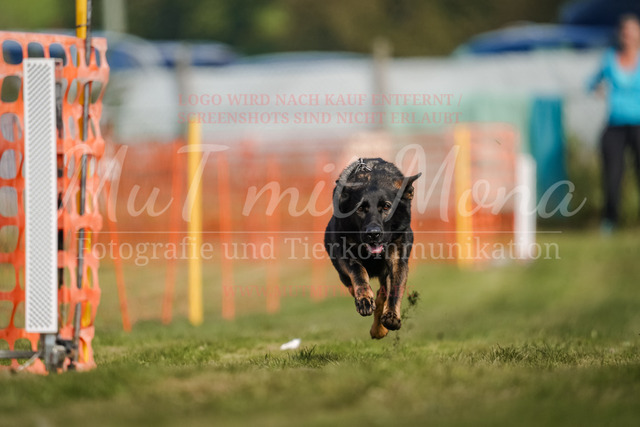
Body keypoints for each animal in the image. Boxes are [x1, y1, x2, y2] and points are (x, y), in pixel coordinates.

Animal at [324, 158, 421, 339]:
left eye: (387, 206)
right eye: (361, 209)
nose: (373, 234)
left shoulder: (397, 259)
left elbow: (395, 288)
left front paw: (391, 316)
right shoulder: (344, 255)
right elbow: (358, 271)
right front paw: (363, 299)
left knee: (382, 294)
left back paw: (379, 328)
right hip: (343, 274)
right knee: (354, 286)